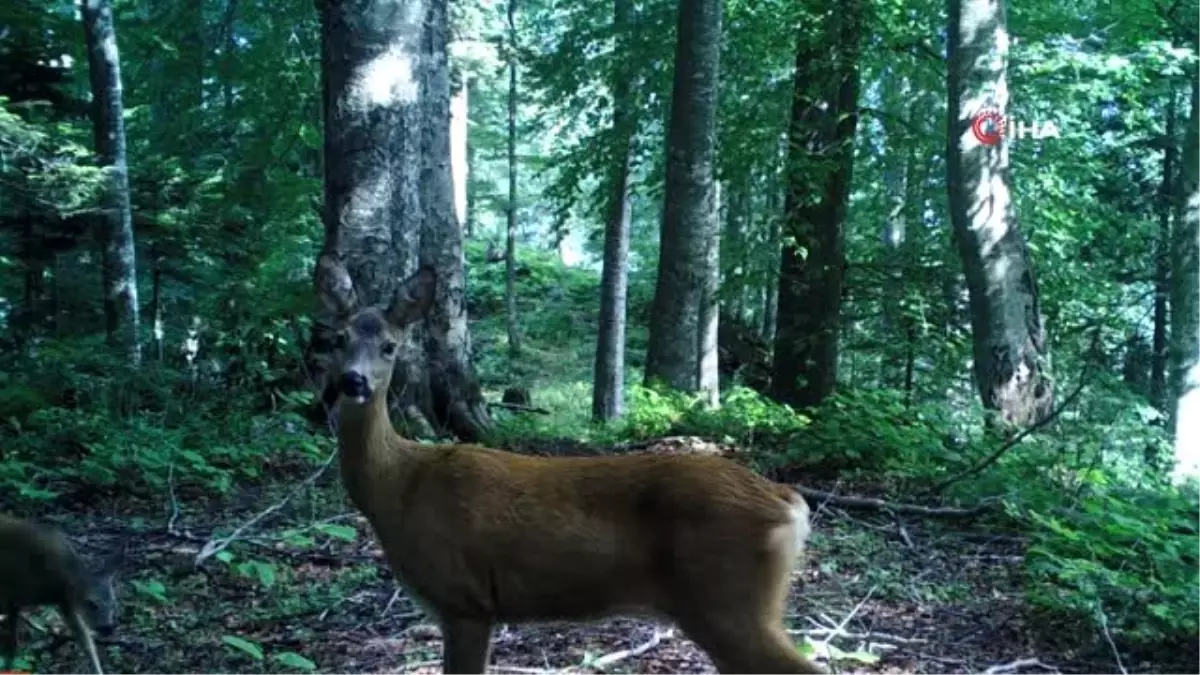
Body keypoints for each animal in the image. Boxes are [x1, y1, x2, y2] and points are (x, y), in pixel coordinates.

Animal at [0, 511, 126, 667]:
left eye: (114, 604)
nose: (107, 628)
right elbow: (12, 641)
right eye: (91, 603)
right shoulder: (13, 593)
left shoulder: (66, 603)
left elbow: (87, 643)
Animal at [314, 252, 830, 672]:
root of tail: (789, 501)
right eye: (336, 339)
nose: (354, 382)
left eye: (390, 345)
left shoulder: (465, 601)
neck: (398, 485)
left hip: (728, 603)